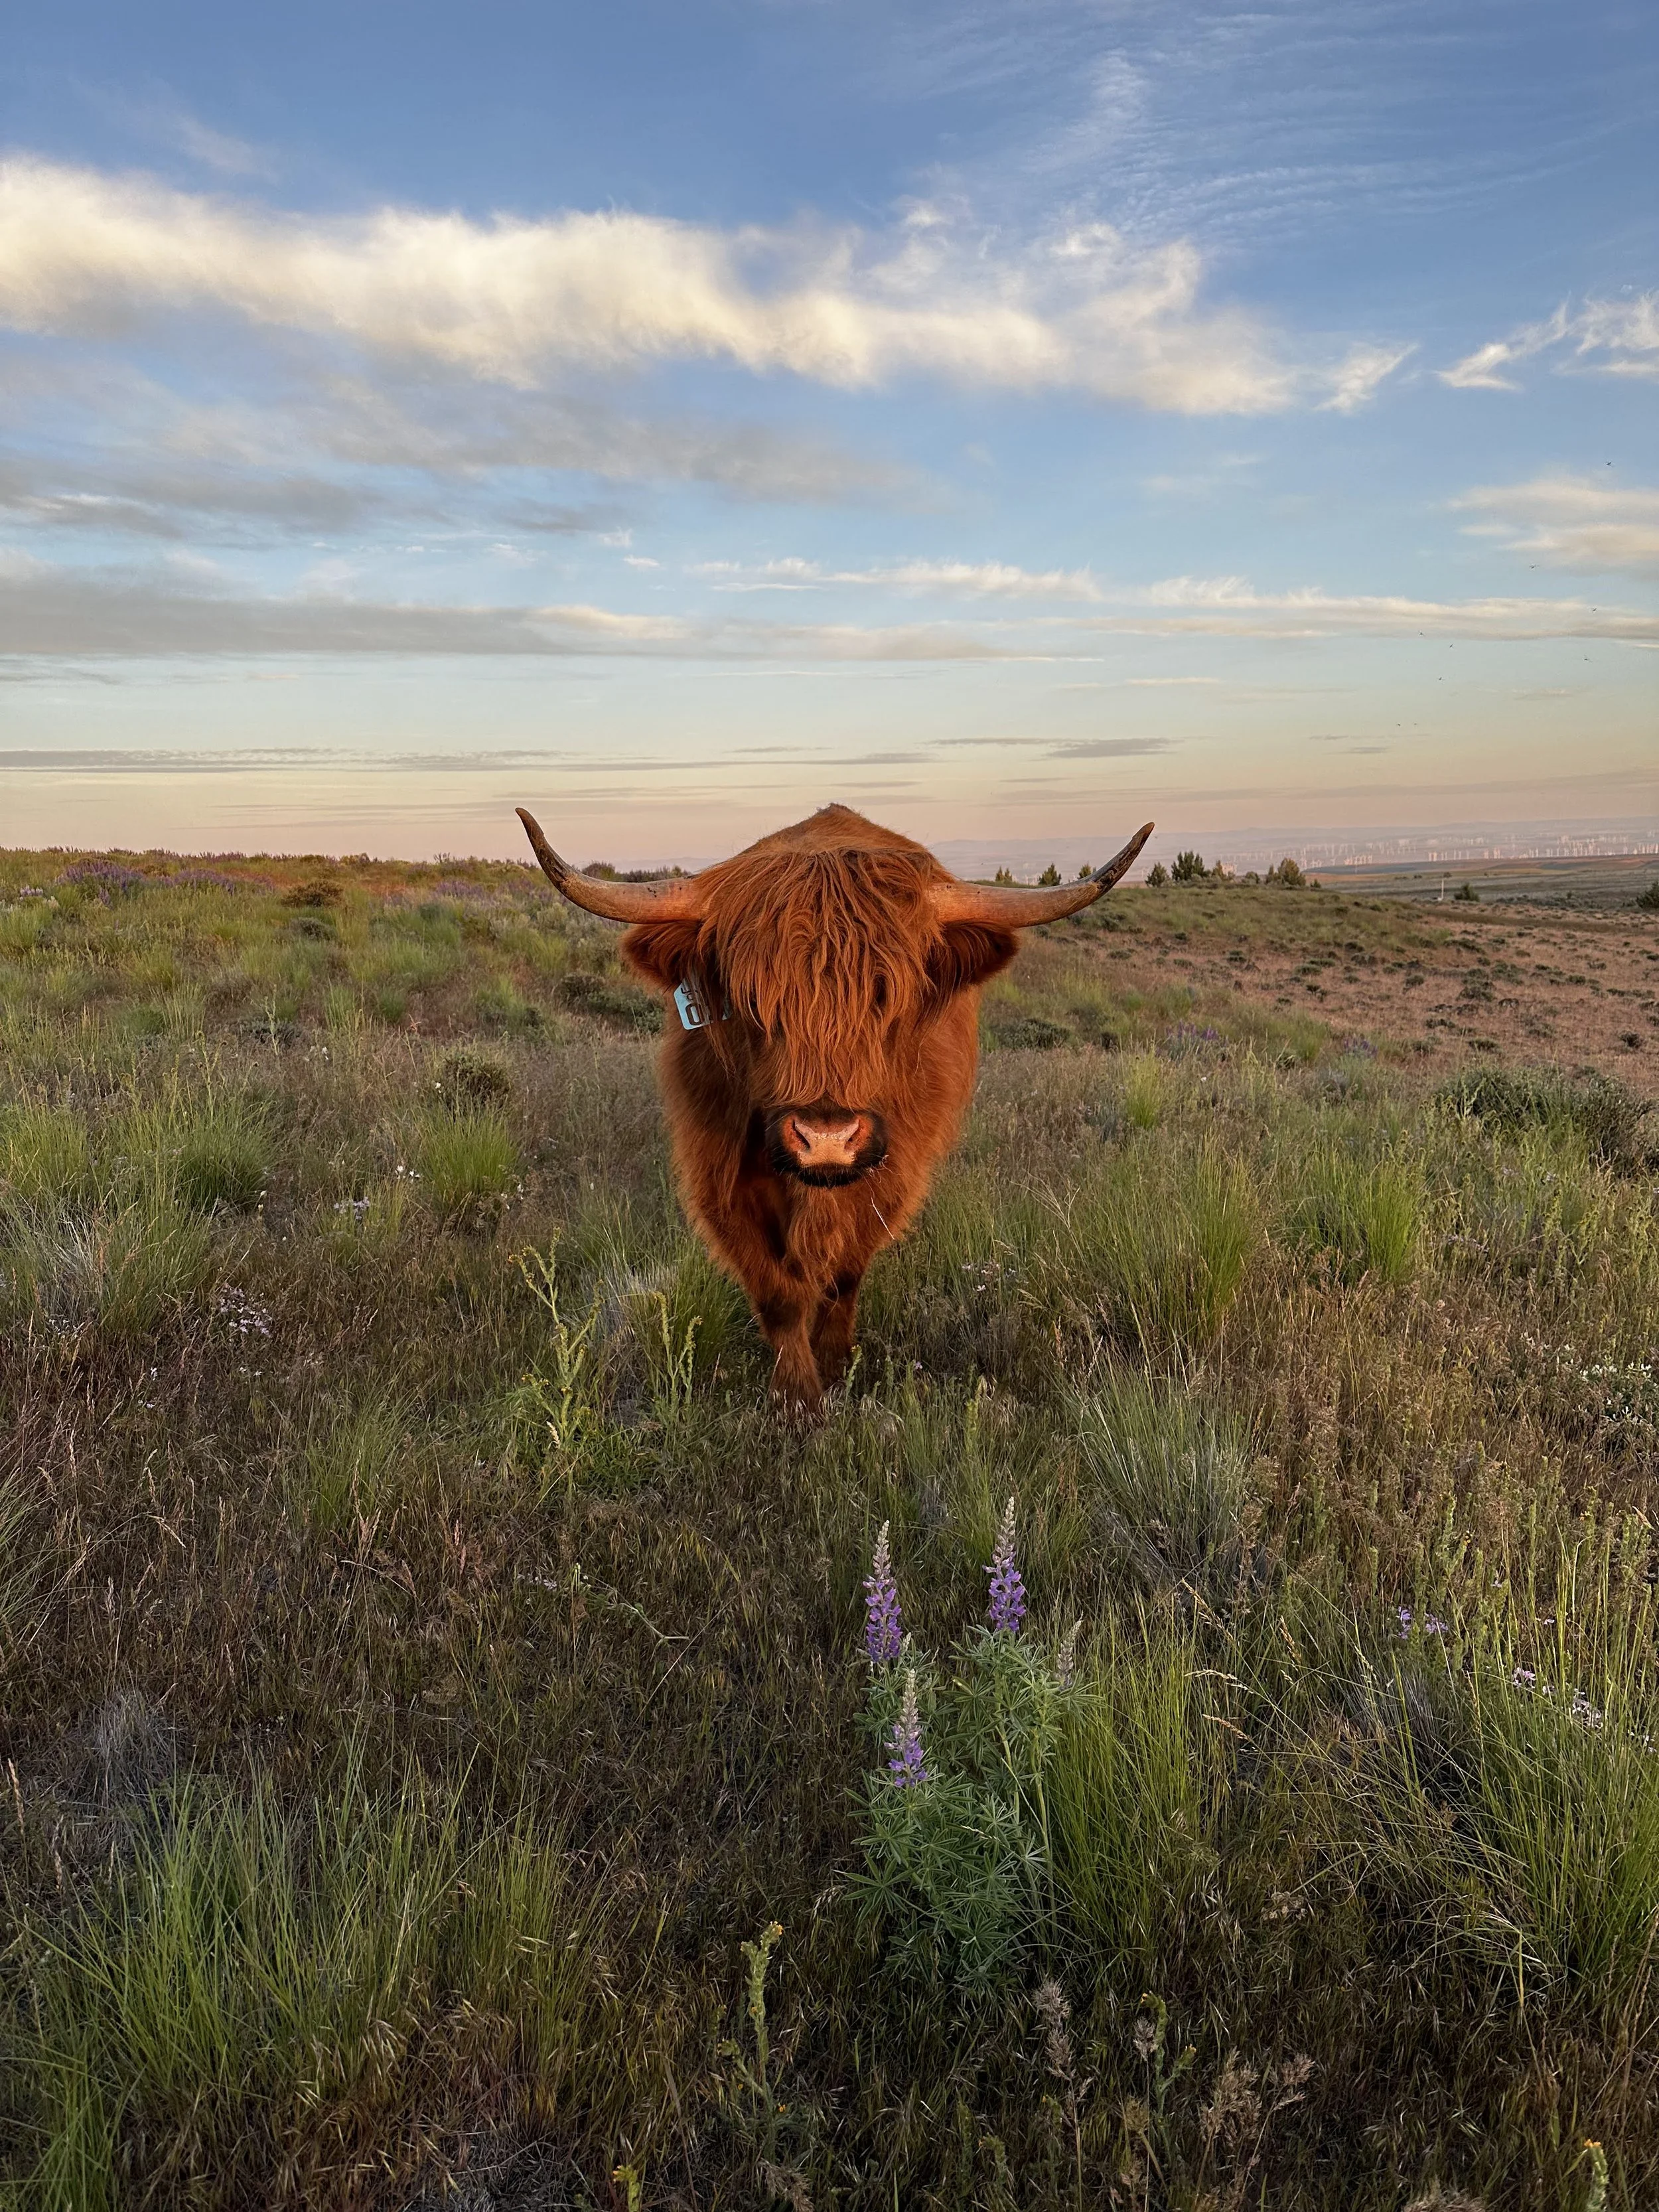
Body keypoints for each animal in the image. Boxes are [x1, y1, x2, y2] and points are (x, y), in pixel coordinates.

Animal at [517, 802, 1153, 1417]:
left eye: (889, 996)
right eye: (752, 1000)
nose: (826, 1137)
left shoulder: (891, 1175)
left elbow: (845, 1275)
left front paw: (835, 1363)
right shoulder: (718, 1177)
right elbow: (777, 1294)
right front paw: (797, 1399)